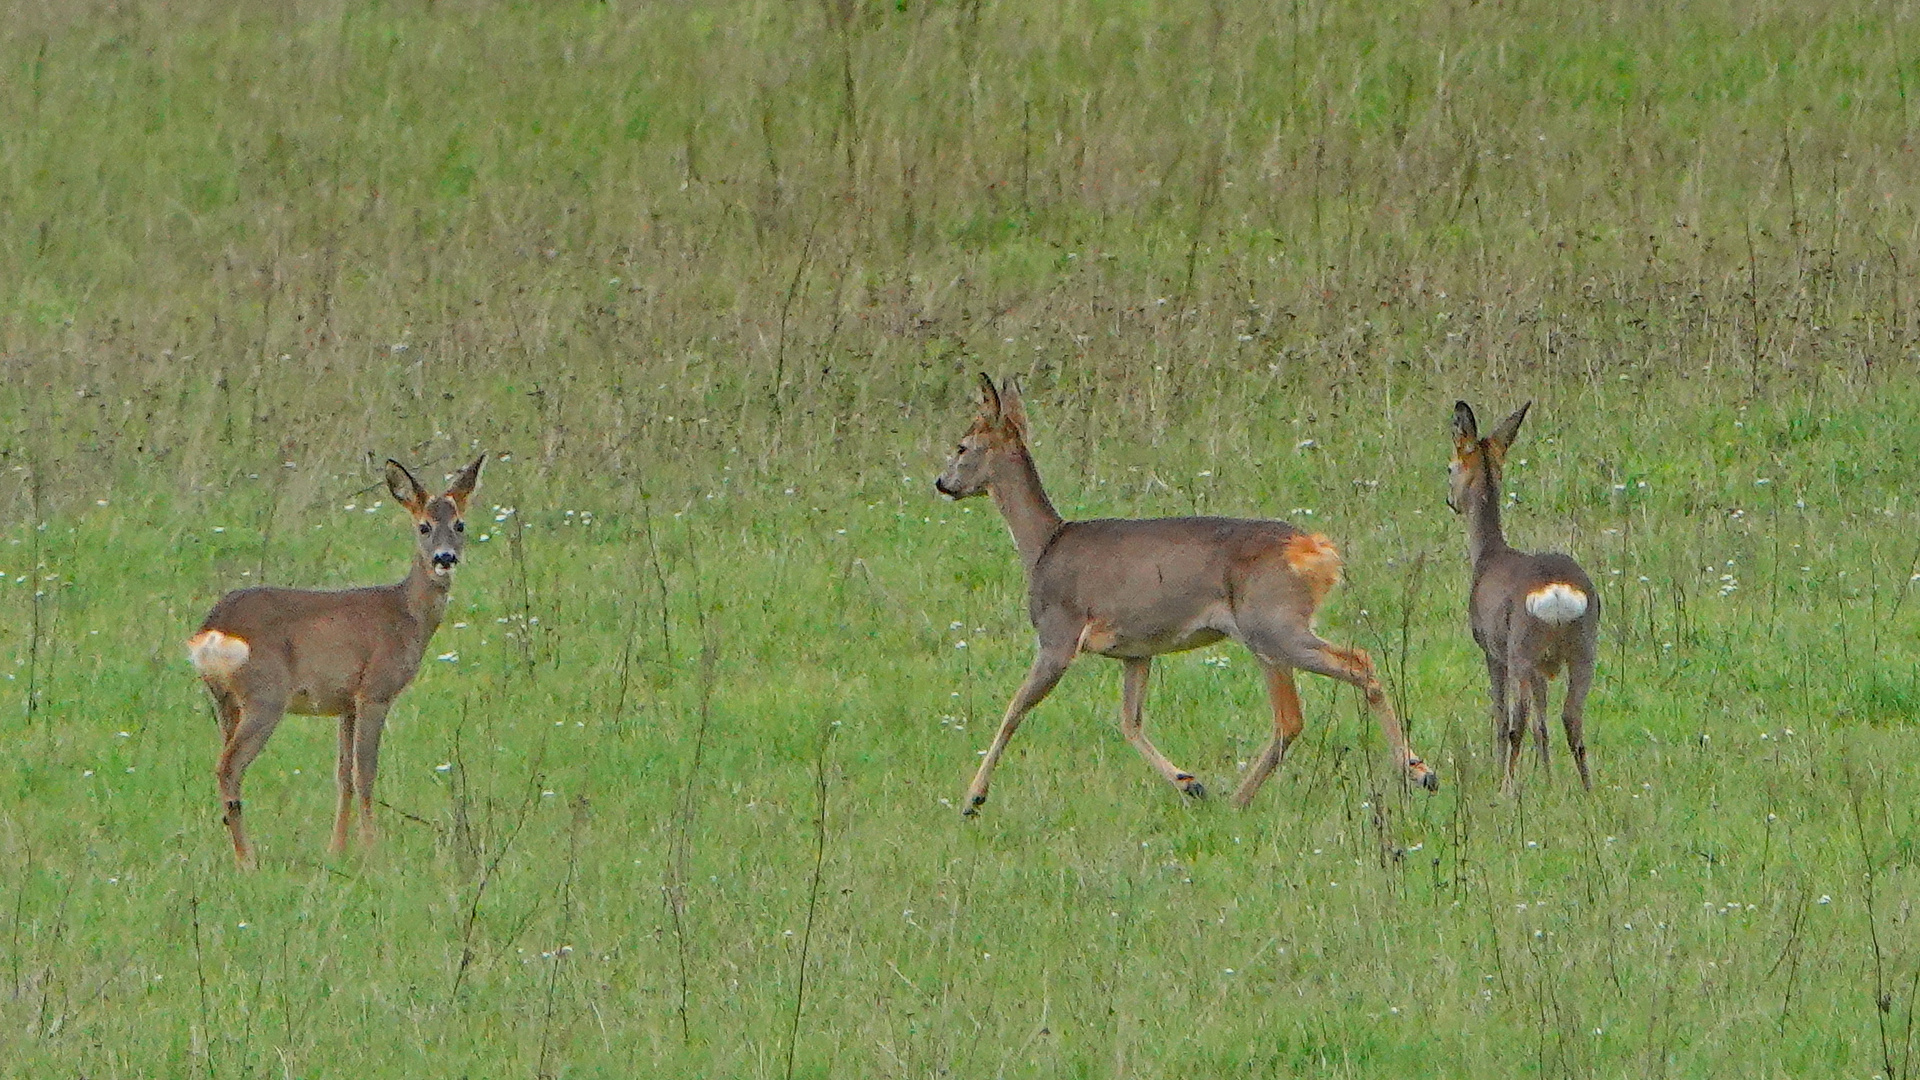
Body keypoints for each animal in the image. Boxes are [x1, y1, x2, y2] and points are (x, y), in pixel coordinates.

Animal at [186, 453, 483, 864]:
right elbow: (365, 773)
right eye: (423, 526)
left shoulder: (346, 703)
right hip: (265, 695)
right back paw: (248, 861)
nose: (445, 558)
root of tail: (213, 629)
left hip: (224, 700)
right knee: (228, 767)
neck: (406, 614)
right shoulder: (375, 691)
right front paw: (372, 850)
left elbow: (342, 775)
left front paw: (337, 849)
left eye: (460, 524)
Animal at [936, 374, 1436, 810]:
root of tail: (1317, 551)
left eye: (961, 446)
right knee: (1296, 713)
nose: (942, 483)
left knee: (1348, 671)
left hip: (1272, 624)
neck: (1043, 545)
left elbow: (1014, 709)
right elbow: (1130, 722)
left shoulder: (1059, 635)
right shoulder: (1136, 651)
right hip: (1268, 632)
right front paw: (1189, 782)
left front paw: (972, 798)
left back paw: (1416, 770)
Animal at [1443, 397, 1597, 791]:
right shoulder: (1542, 667)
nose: (1451, 501)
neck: (1486, 556)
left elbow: (1500, 716)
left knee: (1518, 721)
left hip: (1520, 648)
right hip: (1584, 647)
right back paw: (1588, 791)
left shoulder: (1490, 648)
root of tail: (1557, 594)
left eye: (1449, 467)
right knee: (1570, 716)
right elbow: (1543, 723)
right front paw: (1547, 777)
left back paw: (1506, 788)